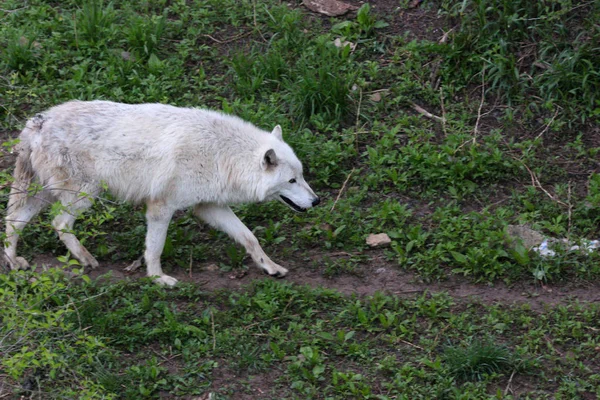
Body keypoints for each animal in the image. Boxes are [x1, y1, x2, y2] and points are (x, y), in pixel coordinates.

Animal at [2, 101, 322, 286]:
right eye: (292, 180)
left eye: (302, 176)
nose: (317, 200)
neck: (222, 155)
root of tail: (38, 122)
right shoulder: (160, 207)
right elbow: (154, 248)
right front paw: (158, 278)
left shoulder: (209, 207)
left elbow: (249, 237)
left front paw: (271, 267)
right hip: (84, 195)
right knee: (57, 223)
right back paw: (85, 259)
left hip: (46, 195)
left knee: (13, 221)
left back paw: (14, 262)